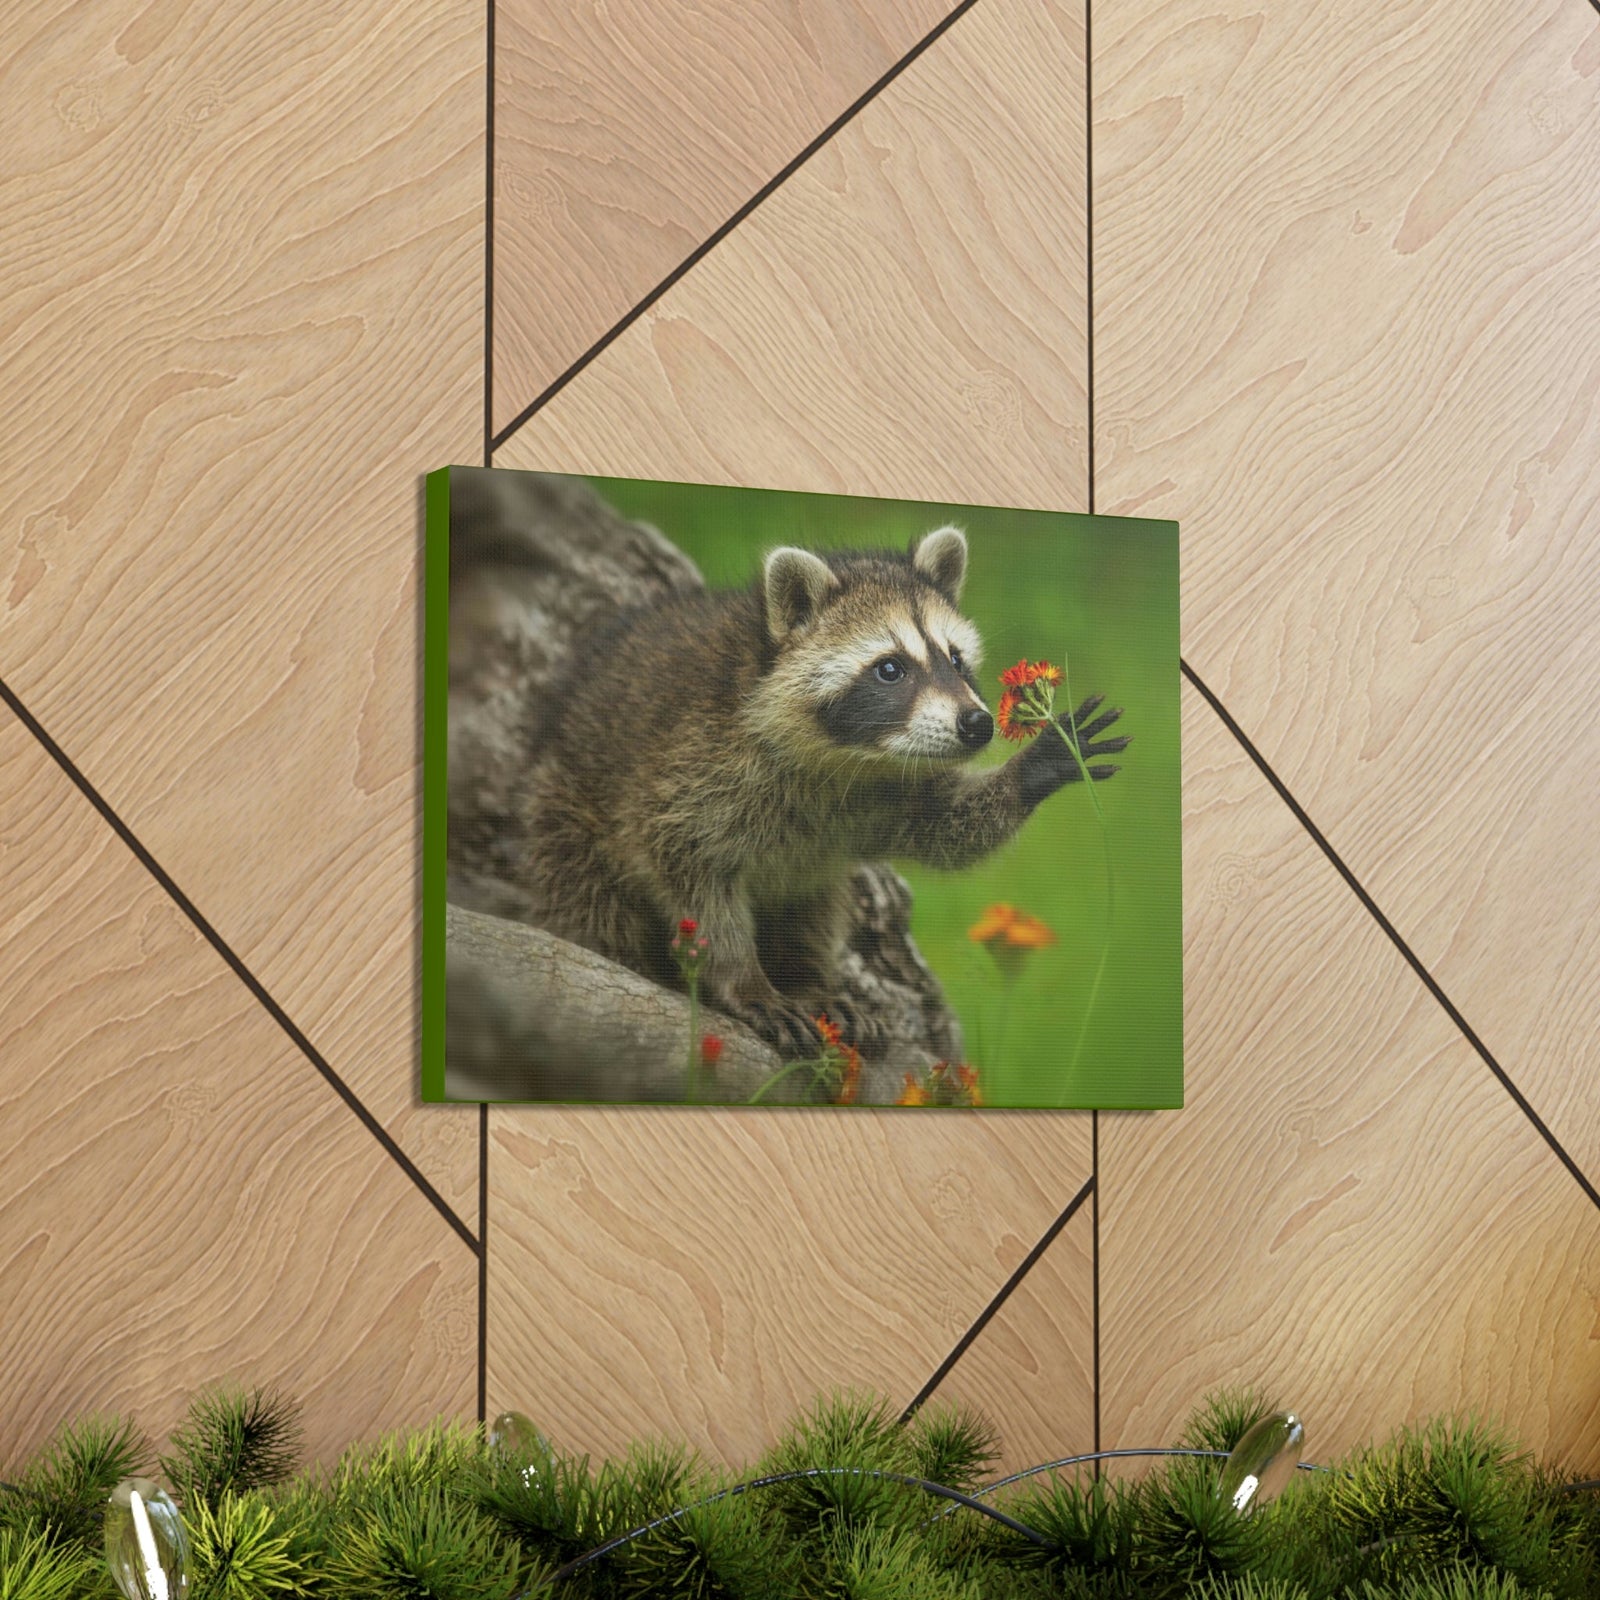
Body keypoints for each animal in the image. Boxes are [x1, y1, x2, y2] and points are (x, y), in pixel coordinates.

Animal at [515, 526, 1127, 1058]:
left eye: (955, 659)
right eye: (890, 669)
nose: (977, 725)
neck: (842, 760)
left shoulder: (881, 794)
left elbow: (945, 826)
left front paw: (1034, 768)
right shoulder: (687, 773)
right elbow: (692, 881)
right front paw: (743, 979)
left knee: (812, 902)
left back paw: (808, 977)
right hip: (565, 816)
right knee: (593, 907)